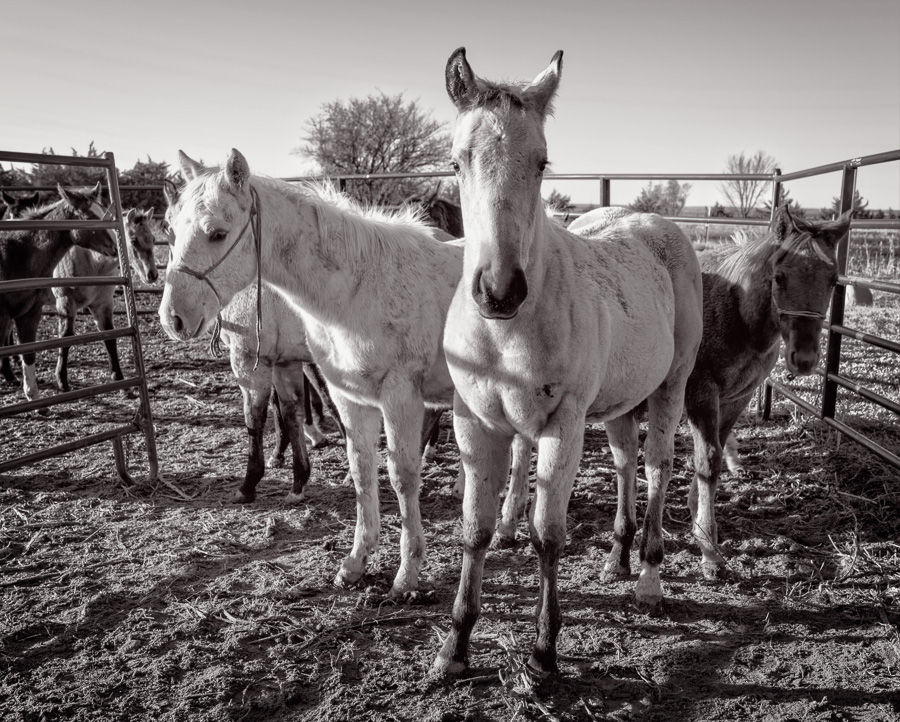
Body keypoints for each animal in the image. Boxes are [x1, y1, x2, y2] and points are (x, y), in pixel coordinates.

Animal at [52, 206, 160, 392]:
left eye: (152, 238)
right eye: (133, 240)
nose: (152, 274)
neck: (92, 261)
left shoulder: (102, 305)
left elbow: (109, 336)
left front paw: (119, 378)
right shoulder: (65, 302)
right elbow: (66, 337)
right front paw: (62, 381)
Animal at [159, 149, 531, 595]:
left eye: (216, 232)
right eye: (169, 228)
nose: (173, 318)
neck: (357, 287)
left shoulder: (399, 396)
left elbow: (402, 475)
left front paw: (407, 573)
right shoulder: (346, 395)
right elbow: (359, 468)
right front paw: (356, 561)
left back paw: (508, 524)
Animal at [432, 49, 703, 677]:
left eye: (542, 162)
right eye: (457, 160)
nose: (499, 290)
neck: (506, 334)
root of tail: (652, 221)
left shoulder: (563, 425)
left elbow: (548, 535)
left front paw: (543, 654)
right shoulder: (473, 423)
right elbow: (475, 529)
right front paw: (455, 648)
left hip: (670, 388)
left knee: (656, 469)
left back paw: (648, 579)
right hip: (620, 401)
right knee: (627, 462)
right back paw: (618, 556)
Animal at [684, 206, 849, 579]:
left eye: (833, 281)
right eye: (779, 277)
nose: (804, 359)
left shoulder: (736, 398)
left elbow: (714, 453)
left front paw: (698, 523)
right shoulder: (700, 393)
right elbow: (708, 461)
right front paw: (709, 549)